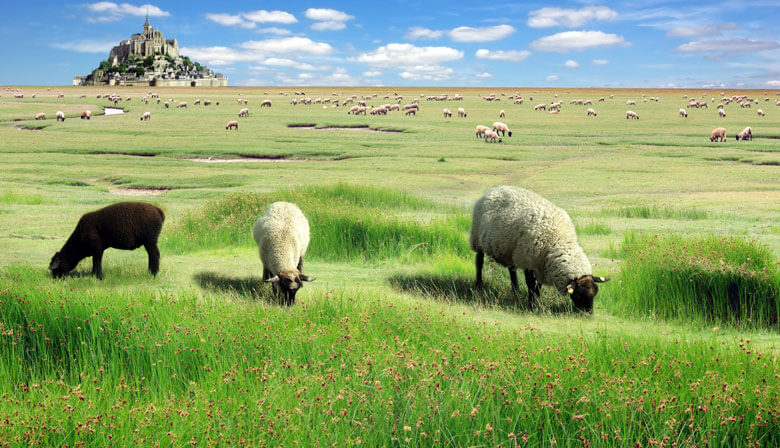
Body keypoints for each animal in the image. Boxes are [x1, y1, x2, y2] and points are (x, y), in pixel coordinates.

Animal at [470, 185, 608, 312]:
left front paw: (536, 300)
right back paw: (479, 285)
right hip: (477, 238)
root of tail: (494, 188)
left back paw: (516, 290)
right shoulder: (529, 261)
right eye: (580, 295)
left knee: (512, 270)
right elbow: (531, 285)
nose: (589, 314)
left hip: (511, 248)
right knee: (479, 262)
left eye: (595, 294)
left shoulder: (541, 265)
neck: (558, 241)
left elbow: (538, 287)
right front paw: (532, 306)